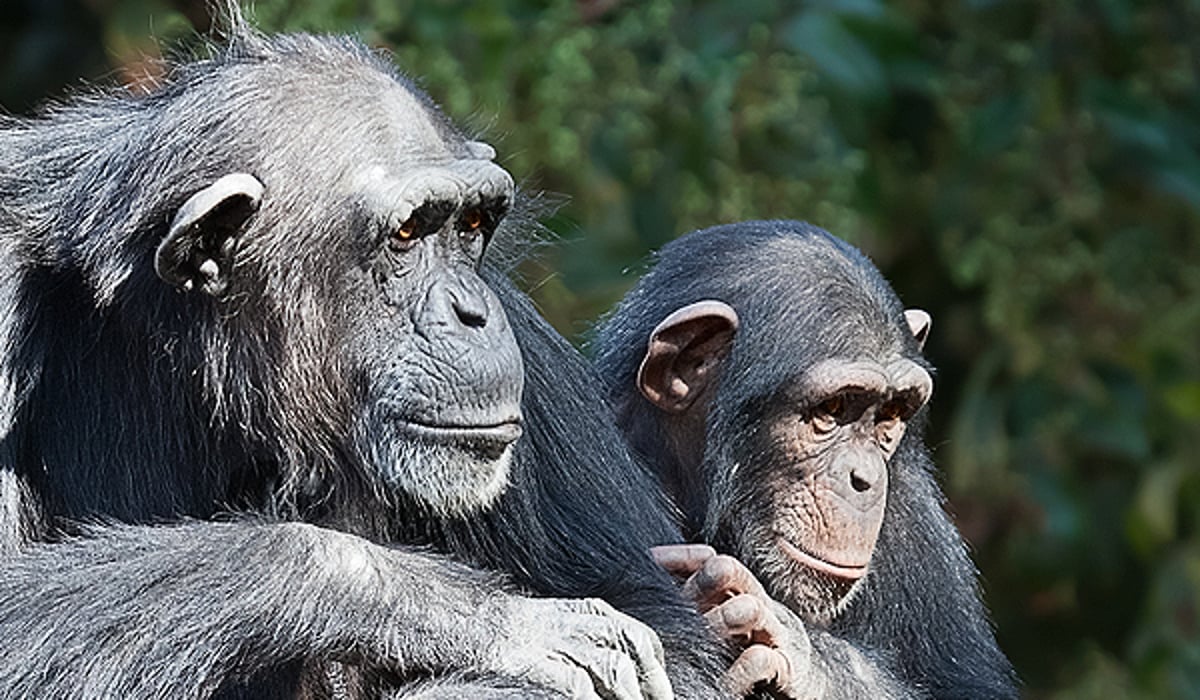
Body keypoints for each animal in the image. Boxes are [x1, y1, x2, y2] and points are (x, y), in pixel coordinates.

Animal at [590, 222, 1012, 696]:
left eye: (890, 413)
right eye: (832, 409)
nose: (865, 478)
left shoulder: (912, 512)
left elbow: (970, 687)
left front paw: (797, 650)